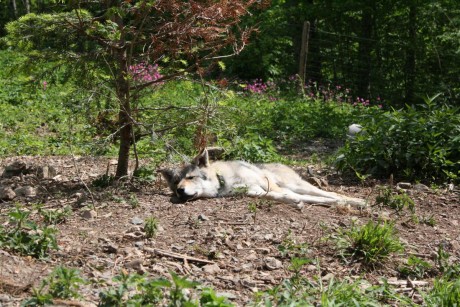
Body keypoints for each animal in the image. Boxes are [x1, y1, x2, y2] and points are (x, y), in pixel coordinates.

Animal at [160, 150, 364, 211]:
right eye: (175, 183)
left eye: (190, 177)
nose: (179, 191)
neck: (224, 180)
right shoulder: (256, 192)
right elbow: (278, 197)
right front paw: (294, 202)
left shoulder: (266, 184)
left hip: (295, 184)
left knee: (328, 193)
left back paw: (356, 201)